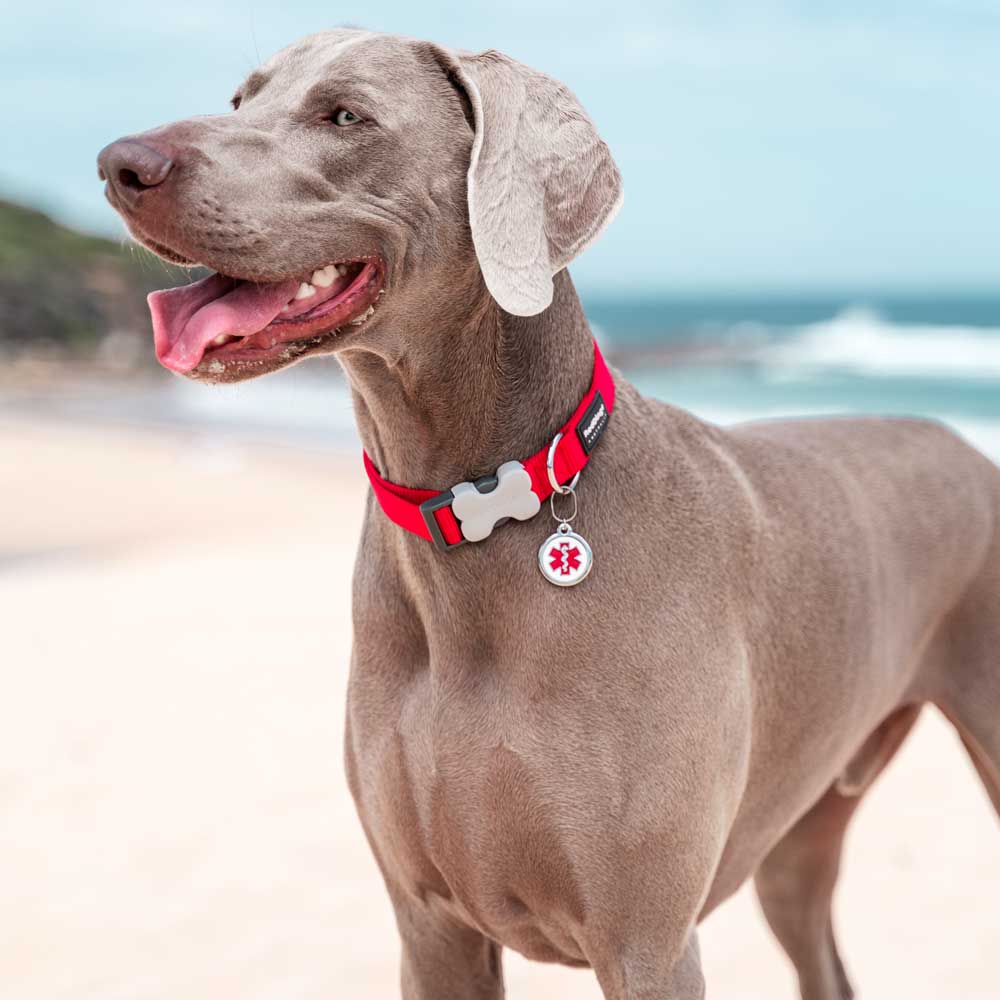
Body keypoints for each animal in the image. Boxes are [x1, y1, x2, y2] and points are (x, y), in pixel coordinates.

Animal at [99, 27, 1000, 996]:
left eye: (345, 115)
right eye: (241, 100)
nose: (120, 164)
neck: (479, 511)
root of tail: (960, 443)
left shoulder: (646, 943)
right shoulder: (429, 925)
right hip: (801, 821)